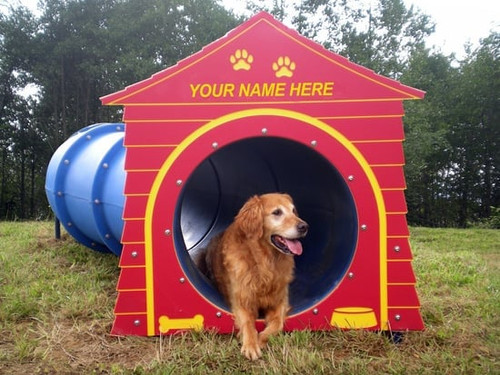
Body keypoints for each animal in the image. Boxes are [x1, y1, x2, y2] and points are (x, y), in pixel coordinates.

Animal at [196, 194, 306, 362]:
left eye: (293, 210)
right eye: (277, 212)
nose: (304, 226)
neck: (265, 262)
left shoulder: (280, 300)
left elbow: (277, 323)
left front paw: (261, 339)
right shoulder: (242, 301)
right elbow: (248, 323)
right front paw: (251, 345)